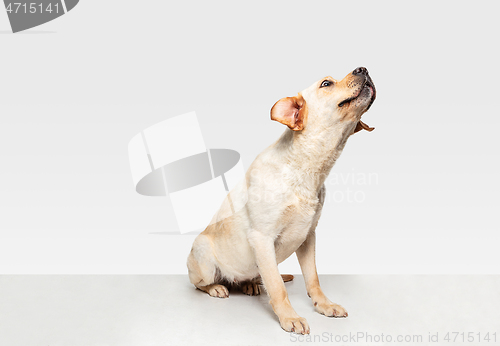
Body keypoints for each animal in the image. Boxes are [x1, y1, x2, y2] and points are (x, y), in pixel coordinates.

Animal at [188, 66, 376, 334]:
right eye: (326, 83)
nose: (363, 68)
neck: (306, 170)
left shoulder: (308, 237)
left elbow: (313, 279)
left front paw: (324, 304)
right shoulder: (262, 239)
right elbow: (277, 288)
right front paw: (289, 317)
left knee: (256, 277)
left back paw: (251, 283)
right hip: (203, 255)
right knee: (199, 284)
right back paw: (216, 287)